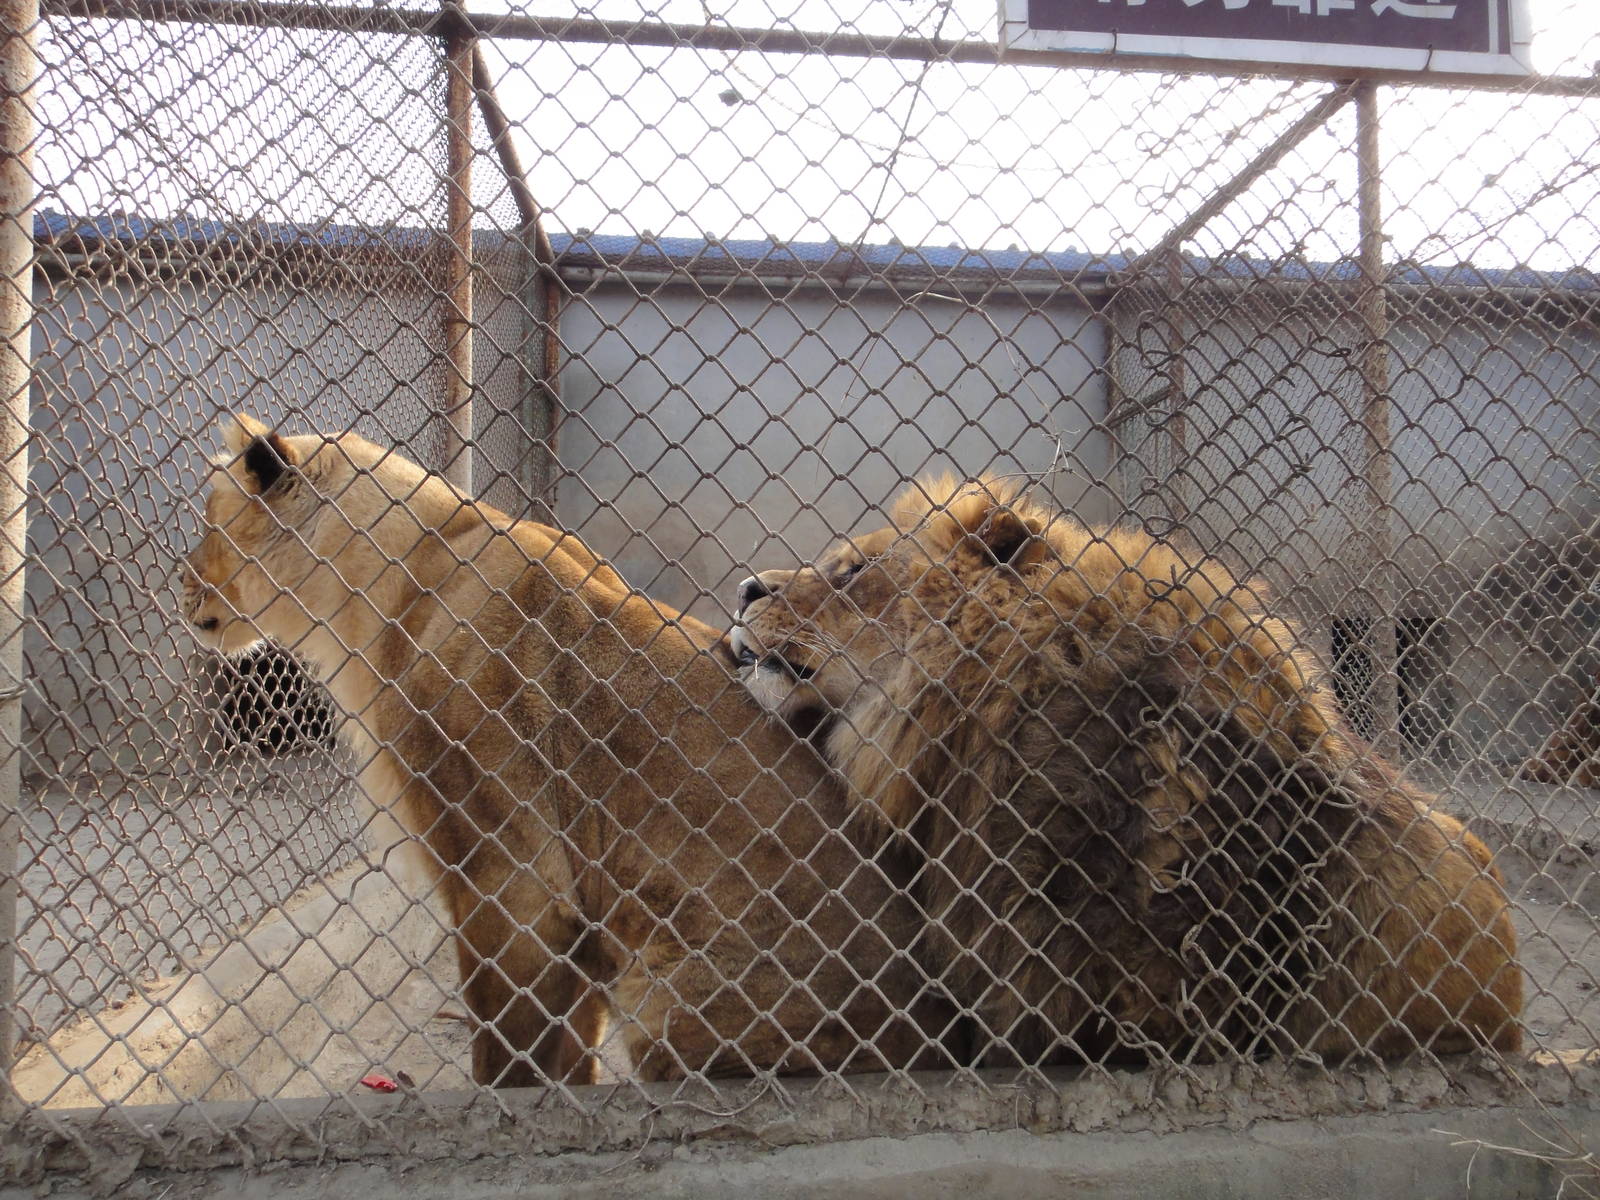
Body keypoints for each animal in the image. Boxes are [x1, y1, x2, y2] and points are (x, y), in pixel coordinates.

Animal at [183, 415, 960, 1087]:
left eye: (206, 524)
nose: (178, 584)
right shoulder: (581, 906)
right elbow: (572, 1054)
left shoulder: (511, 880)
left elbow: (507, 1053)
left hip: (667, 990)